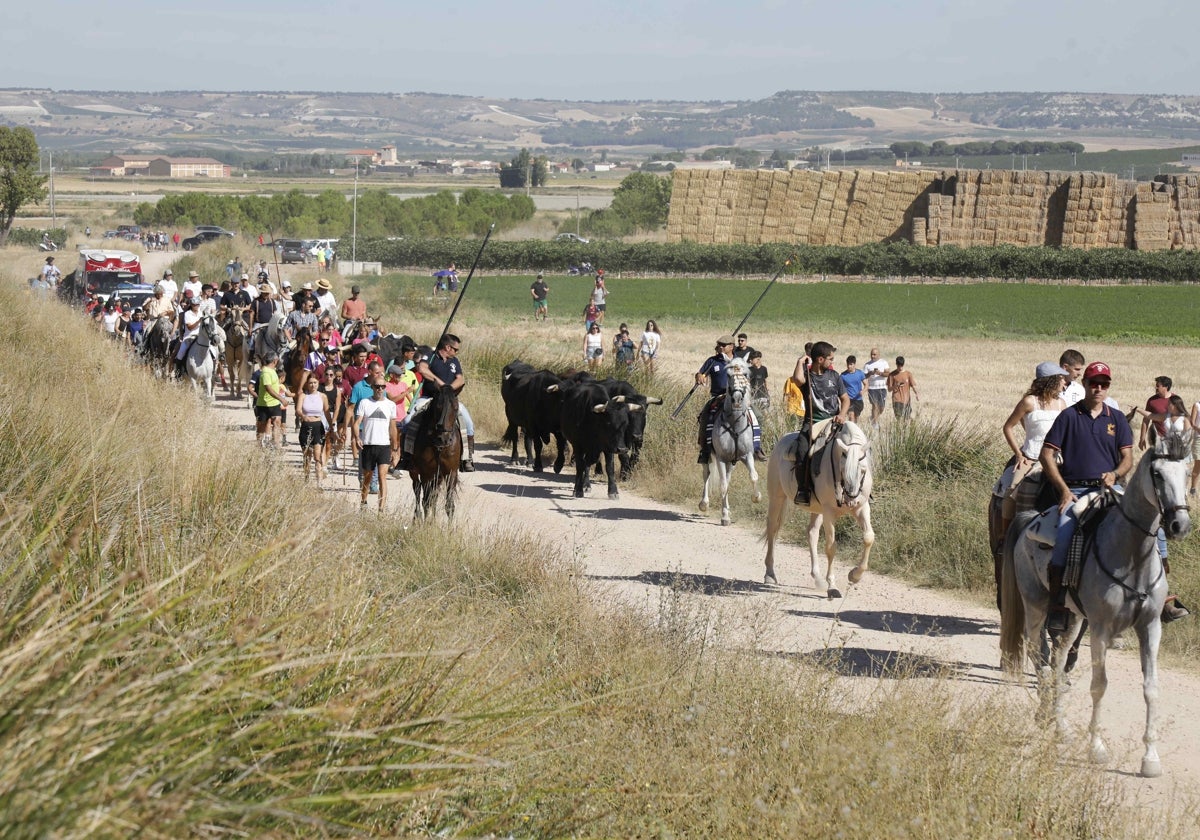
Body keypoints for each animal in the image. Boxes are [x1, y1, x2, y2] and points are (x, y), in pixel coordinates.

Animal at [410, 386, 460, 518]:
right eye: (438, 406)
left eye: (456, 407)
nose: (443, 438)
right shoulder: (426, 473)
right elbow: (426, 502)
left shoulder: (451, 473)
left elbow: (449, 505)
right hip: (415, 472)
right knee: (417, 490)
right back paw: (417, 516)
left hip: (438, 477)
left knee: (434, 497)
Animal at [700, 360, 763, 525]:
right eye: (728, 375)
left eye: (745, 374)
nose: (737, 399)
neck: (734, 424)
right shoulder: (721, 458)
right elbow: (722, 486)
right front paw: (724, 516)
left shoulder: (747, 455)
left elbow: (753, 476)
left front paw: (757, 497)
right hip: (708, 455)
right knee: (707, 474)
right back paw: (704, 503)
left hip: (731, 462)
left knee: (727, 479)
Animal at [763, 422, 878, 600]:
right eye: (843, 470)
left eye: (863, 471)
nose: (850, 500)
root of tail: (782, 440)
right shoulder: (829, 512)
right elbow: (831, 547)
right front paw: (832, 586)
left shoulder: (862, 508)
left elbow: (868, 538)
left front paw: (855, 575)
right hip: (777, 497)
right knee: (772, 528)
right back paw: (769, 574)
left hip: (816, 509)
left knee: (811, 533)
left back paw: (817, 578)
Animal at [993, 432, 1190, 782]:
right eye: (1157, 474)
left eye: (1188, 471)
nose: (1180, 524)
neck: (1132, 555)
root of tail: (1029, 521)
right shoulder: (1100, 629)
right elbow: (1099, 685)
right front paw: (1096, 748)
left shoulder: (1150, 626)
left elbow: (1151, 688)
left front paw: (1150, 759)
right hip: (1036, 606)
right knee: (1038, 653)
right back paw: (1044, 715)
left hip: (1071, 619)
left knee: (1057, 662)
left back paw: (1060, 724)